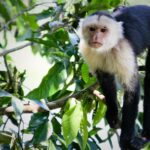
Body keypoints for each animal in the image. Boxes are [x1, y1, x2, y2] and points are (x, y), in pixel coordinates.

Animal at [78, 4, 150, 150]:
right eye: (92, 29)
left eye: (103, 30)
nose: (96, 37)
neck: (107, 48)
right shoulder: (88, 51)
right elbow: (106, 80)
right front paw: (113, 116)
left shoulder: (123, 50)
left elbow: (131, 89)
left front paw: (125, 141)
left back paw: (144, 138)